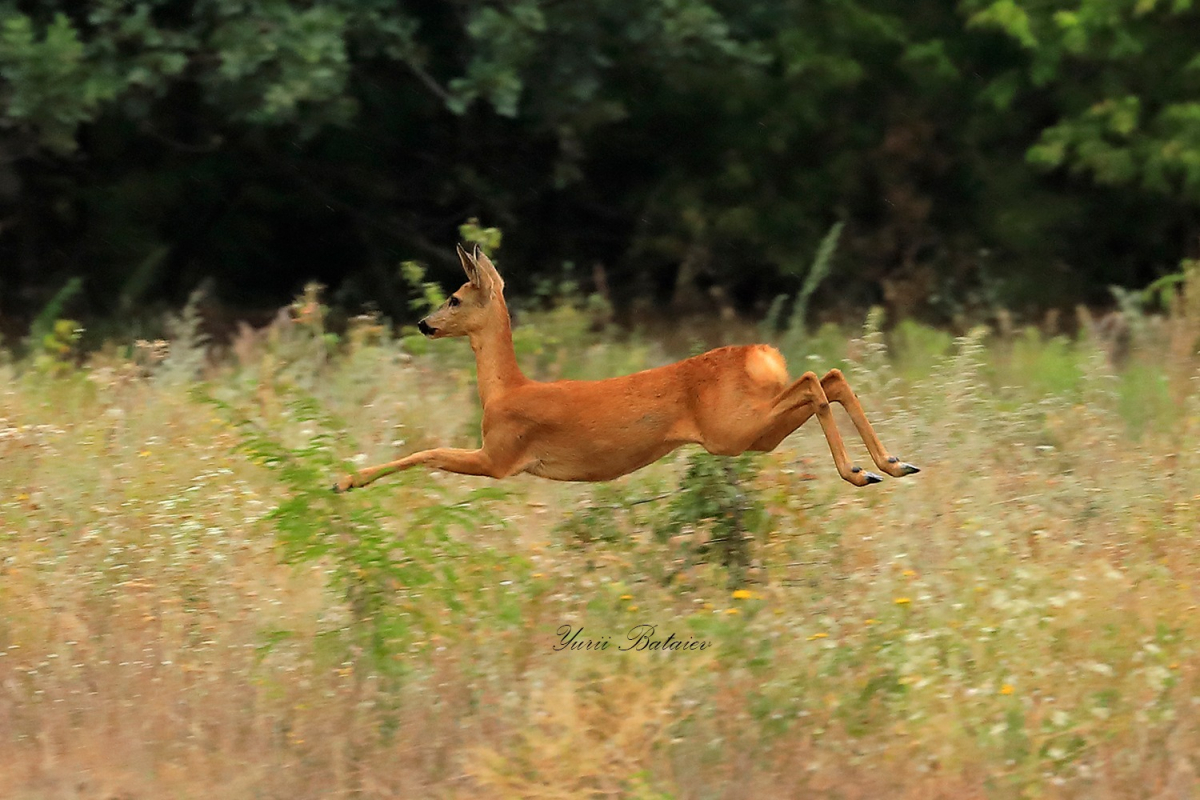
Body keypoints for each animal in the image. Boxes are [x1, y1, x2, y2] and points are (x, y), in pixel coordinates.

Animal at [333, 247, 912, 491]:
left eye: (454, 297)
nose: (423, 323)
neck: (504, 392)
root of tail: (762, 354)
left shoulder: (501, 456)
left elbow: (427, 452)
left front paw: (346, 480)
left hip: (732, 429)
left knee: (815, 381)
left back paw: (861, 471)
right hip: (752, 433)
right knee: (829, 377)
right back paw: (892, 464)